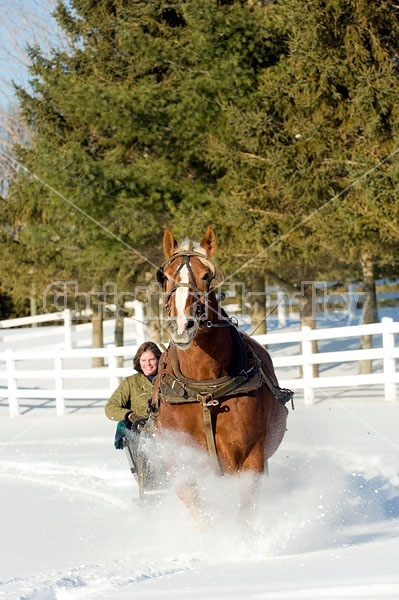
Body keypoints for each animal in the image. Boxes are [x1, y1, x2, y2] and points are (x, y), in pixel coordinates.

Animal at [152, 227, 292, 524]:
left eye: (207, 275)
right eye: (164, 276)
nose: (181, 326)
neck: (204, 389)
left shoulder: (251, 459)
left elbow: (245, 514)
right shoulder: (180, 462)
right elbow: (199, 509)